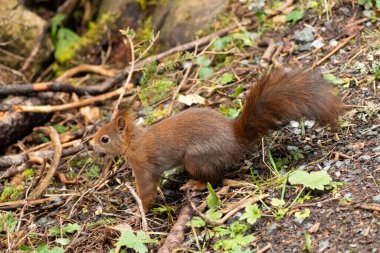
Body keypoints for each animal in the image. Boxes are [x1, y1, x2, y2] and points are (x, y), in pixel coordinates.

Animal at [91, 69, 342, 211]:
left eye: (104, 138)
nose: (90, 144)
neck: (133, 141)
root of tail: (235, 139)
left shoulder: (144, 166)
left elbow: (147, 190)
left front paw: (139, 211)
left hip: (196, 158)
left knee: (215, 179)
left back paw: (195, 183)